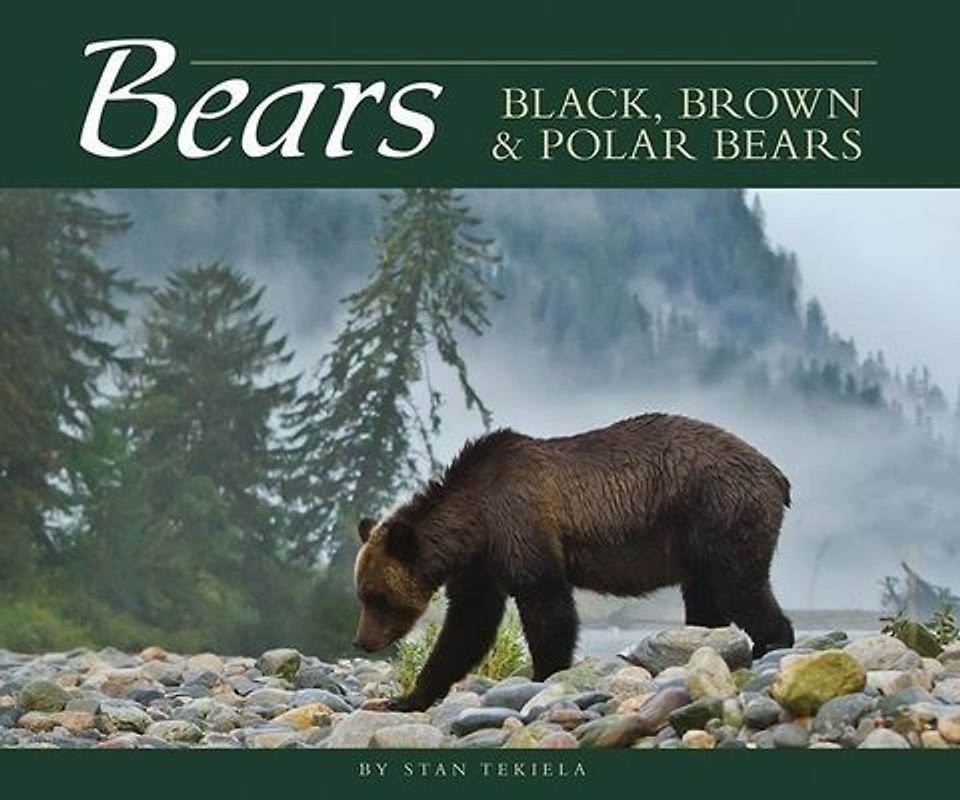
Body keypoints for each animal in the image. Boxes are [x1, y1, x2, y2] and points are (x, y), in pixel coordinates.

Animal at [352, 413, 794, 711]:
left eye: (377, 596)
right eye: (363, 594)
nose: (362, 641)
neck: (474, 520)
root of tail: (776, 473)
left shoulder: (521, 527)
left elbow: (548, 608)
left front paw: (545, 675)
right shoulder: (480, 565)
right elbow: (466, 626)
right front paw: (409, 697)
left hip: (718, 511)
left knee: (739, 584)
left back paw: (772, 643)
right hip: (697, 541)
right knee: (706, 599)